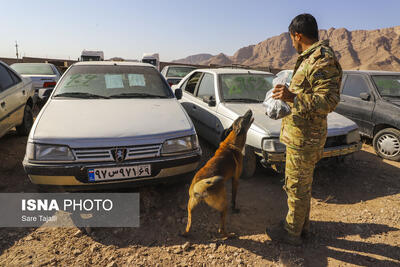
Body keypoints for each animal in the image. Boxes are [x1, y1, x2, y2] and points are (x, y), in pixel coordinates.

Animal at [184, 110, 253, 238]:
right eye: (244, 118)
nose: (249, 110)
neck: (232, 143)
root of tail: (199, 188)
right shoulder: (235, 179)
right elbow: (234, 197)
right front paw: (235, 209)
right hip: (223, 205)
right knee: (221, 229)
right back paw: (229, 235)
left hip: (190, 207)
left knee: (188, 225)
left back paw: (184, 233)